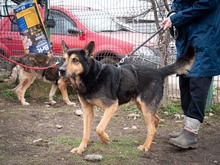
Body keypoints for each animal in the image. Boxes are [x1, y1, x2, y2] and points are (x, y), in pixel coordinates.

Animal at [58, 41, 196, 153]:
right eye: (64, 59)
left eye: (75, 60)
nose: (60, 70)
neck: (91, 76)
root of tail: (159, 71)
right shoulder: (87, 111)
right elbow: (85, 133)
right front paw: (81, 148)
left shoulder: (112, 106)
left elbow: (99, 128)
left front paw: (105, 139)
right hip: (142, 106)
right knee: (155, 120)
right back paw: (151, 140)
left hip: (145, 107)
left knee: (151, 127)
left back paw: (145, 146)